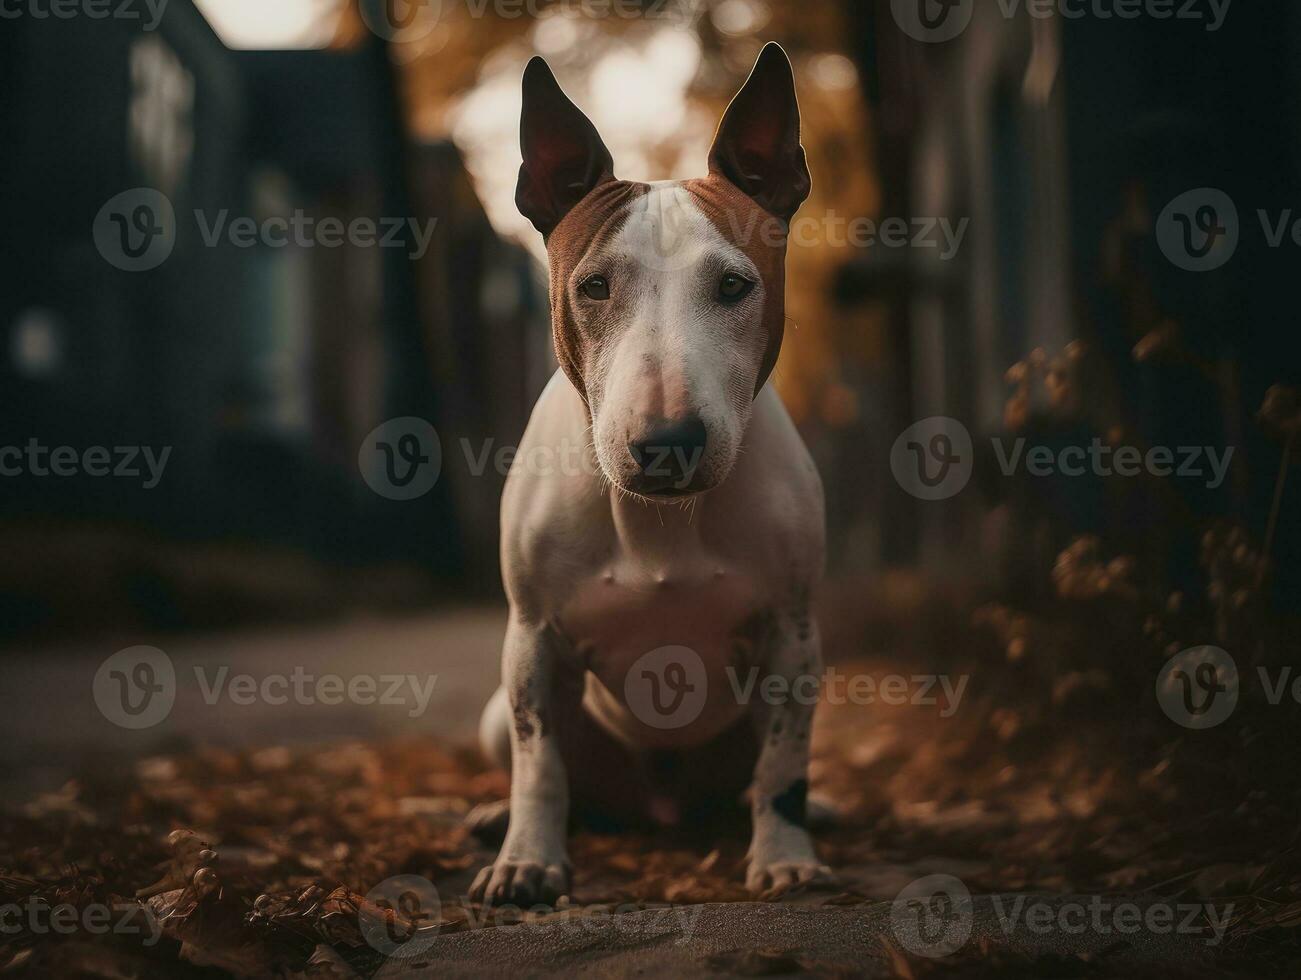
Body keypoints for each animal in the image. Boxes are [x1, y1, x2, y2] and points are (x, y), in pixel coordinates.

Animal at [473, 43, 827, 900]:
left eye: (733, 285)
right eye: (594, 286)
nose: (668, 441)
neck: (660, 522)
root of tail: (658, 811)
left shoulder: (793, 637)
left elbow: (783, 765)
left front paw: (784, 856)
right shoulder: (531, 641)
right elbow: (539, 765)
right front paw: (528, 860)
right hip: (499, 712)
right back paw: (499, 822)